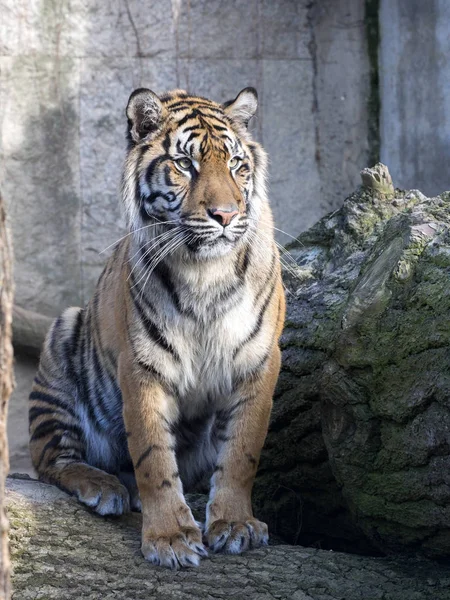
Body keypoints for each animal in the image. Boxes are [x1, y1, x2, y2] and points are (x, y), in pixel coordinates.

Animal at [29, 84, 284, 568]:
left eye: (237, 165)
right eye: (185, 164)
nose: (225, 215)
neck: (206, 273)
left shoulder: (259, 361)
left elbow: (242, 451)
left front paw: (235, 525)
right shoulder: (142, 365)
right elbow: (153, 458)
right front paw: (170, 537)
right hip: (61, 338)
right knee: (52, 457)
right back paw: (105, 487)